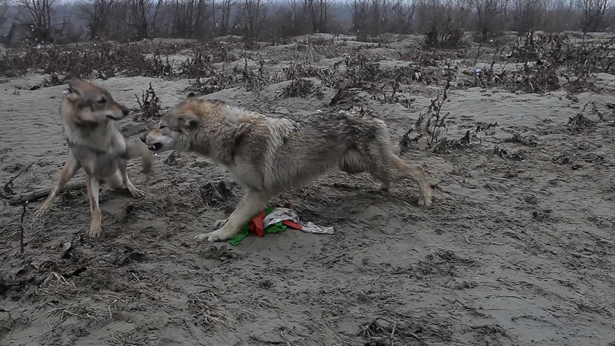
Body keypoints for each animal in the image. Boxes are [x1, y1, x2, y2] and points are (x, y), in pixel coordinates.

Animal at [35, 78, 154, 238]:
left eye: (111, 97)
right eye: (101, 101)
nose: (127, 110)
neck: (97, 136)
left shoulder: (124, 152)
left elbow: (142, 147)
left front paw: (147, 163)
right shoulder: (90, 175)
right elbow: (95, 207)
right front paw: (95, 227)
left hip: (120, 168)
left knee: (124, 178)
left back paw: (133, 189)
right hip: (69, 172)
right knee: (55, 189)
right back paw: (44, 207)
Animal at [144, 93, 434, 242]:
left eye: (161, 126)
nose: (143, 138)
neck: (233, 134)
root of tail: (371, 113)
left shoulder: (258, 192)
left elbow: (236, 217)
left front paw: (216, 235)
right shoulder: (249, 191)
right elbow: (234, 214)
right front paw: (220, 224)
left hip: (377, 166)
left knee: (418, 168)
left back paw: (424, 199)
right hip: (361, 167)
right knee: (396, 175)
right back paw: (384, 190)